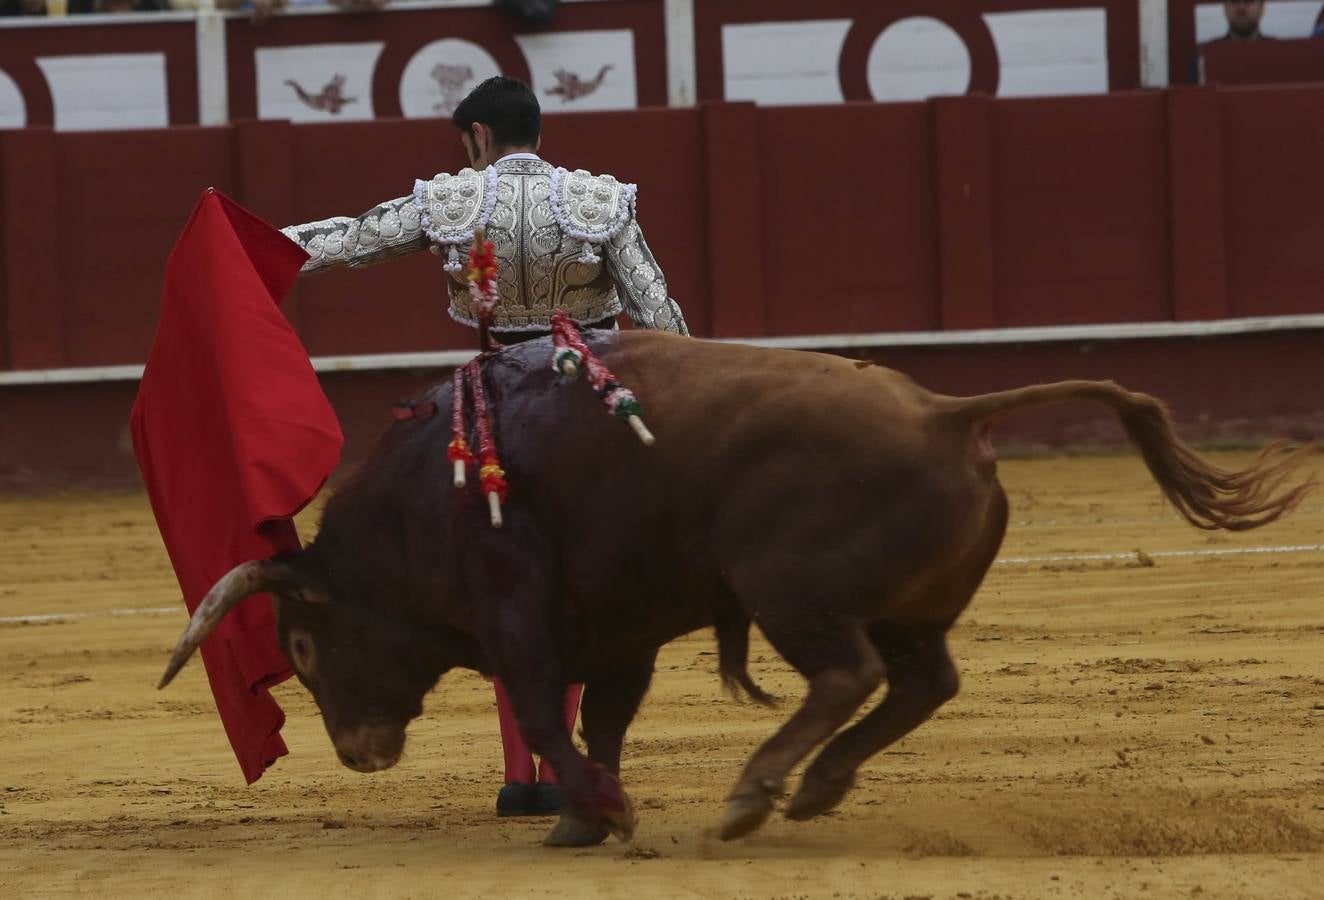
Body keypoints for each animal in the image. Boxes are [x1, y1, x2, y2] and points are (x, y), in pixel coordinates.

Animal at [157, 328, 1313, 841]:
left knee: (847, 675)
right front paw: (587, 817)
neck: (416, 506)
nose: (360, 753)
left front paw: (601, 810)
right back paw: (817, 785)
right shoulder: (617, 629)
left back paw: (755, 793)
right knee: (923, 682)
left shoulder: (520, 613)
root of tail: (946, 411)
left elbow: (543, 712)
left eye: (302, 647)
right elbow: (605, 715)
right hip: (909, 608)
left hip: (788, 590)